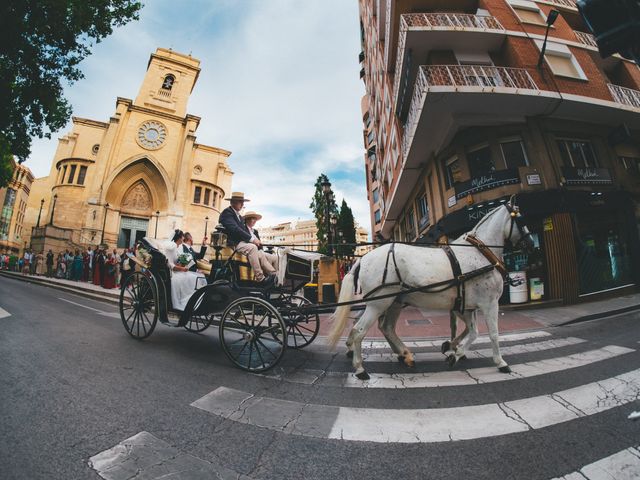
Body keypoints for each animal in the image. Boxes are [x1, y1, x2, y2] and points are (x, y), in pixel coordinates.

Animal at [328, 202, 532, 378]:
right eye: (521, 219)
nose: (530, 243)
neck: (480, 253)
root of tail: (363, 259)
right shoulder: (489, 303)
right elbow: (492, 333)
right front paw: (500, 362)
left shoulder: (466, 306)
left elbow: (472, 331)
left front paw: (453, 349)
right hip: (379, 304)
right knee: (359, 330)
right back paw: (360, 368)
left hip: (392, 303)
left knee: (385, 328)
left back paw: (404, 354)